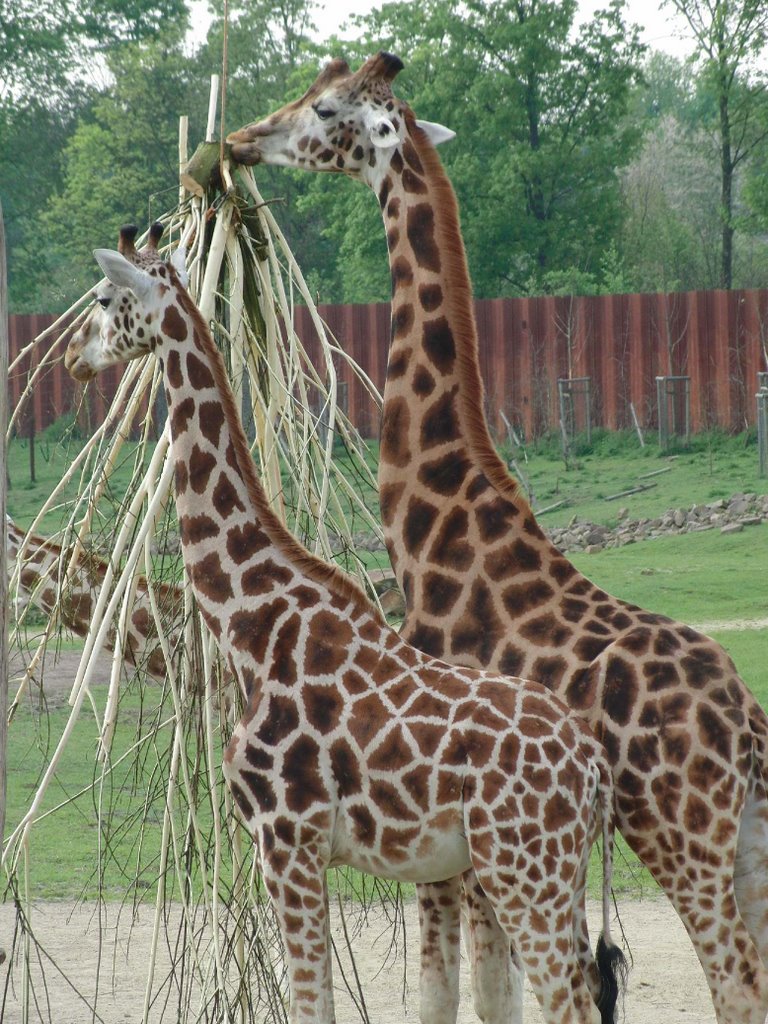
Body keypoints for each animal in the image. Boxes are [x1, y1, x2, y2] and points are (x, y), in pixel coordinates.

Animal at [64, 226, 630, 1024]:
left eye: (105, 298)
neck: (252, 625)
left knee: (569, 1002)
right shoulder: (301, 849)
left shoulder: (287, 839)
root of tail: (592, 769)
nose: (72, 358)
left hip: (526, 870)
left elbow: (311, 1005)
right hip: (553, 875)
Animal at [230, 49, 768, 1024]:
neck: (436, 538)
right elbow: (494, 992)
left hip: (680, 832)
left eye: (324, 109)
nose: (247, 140)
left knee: (736, 982)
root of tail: (743, 720)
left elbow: (456, 994)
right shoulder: (478, 845)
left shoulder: (450, 847)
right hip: (747, 831)